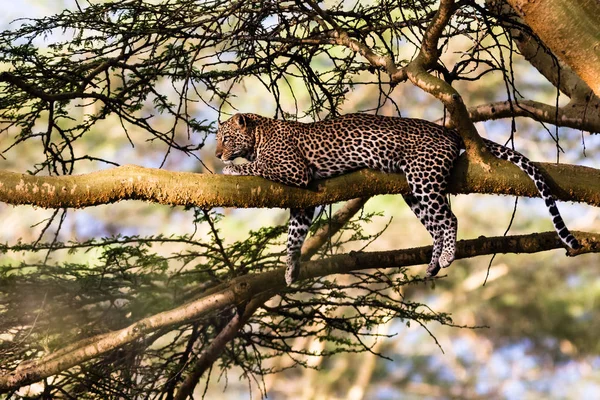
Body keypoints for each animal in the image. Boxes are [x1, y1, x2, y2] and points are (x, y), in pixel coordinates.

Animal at [214, 112, 576, 284]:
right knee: (435, 226)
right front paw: (291, 269)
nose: (216, 154)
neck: (260, 134)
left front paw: (232, 168)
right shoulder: (304, 200)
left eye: (225, 138)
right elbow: (294, 236)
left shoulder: (294, 170)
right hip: (413, 192)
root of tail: (448, 130)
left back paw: (447, 257)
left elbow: (258, 166)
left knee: (449, 219)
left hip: (423, 178)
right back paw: (433, 263)